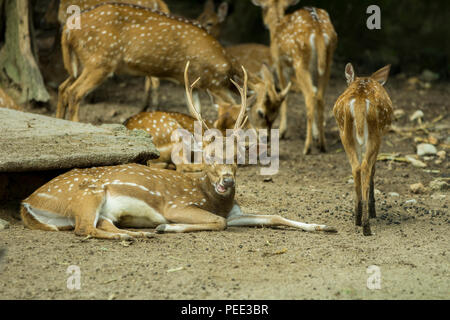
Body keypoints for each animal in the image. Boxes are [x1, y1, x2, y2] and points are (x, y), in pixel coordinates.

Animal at [22, 62, 338, 239]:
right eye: (209, 156)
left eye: (236, 158)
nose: (227, 180)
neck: (214, 200)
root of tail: (27, 202)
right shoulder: (176, 205)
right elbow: (218, 223)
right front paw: (165, 227)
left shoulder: (234, 211)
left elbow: (275, 216)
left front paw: (324, 227)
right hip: (87, 195)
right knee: (83, 229)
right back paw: (138, 235)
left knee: (99, 225)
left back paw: (135, 233)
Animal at [332, 63, 392, 236]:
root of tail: (359, 100)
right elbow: (374, 169)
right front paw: (373, 211)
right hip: (375, 133)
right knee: (366, 167)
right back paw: (366, 224)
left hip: (344, 131)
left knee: (356, 167)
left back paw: (357, 218)